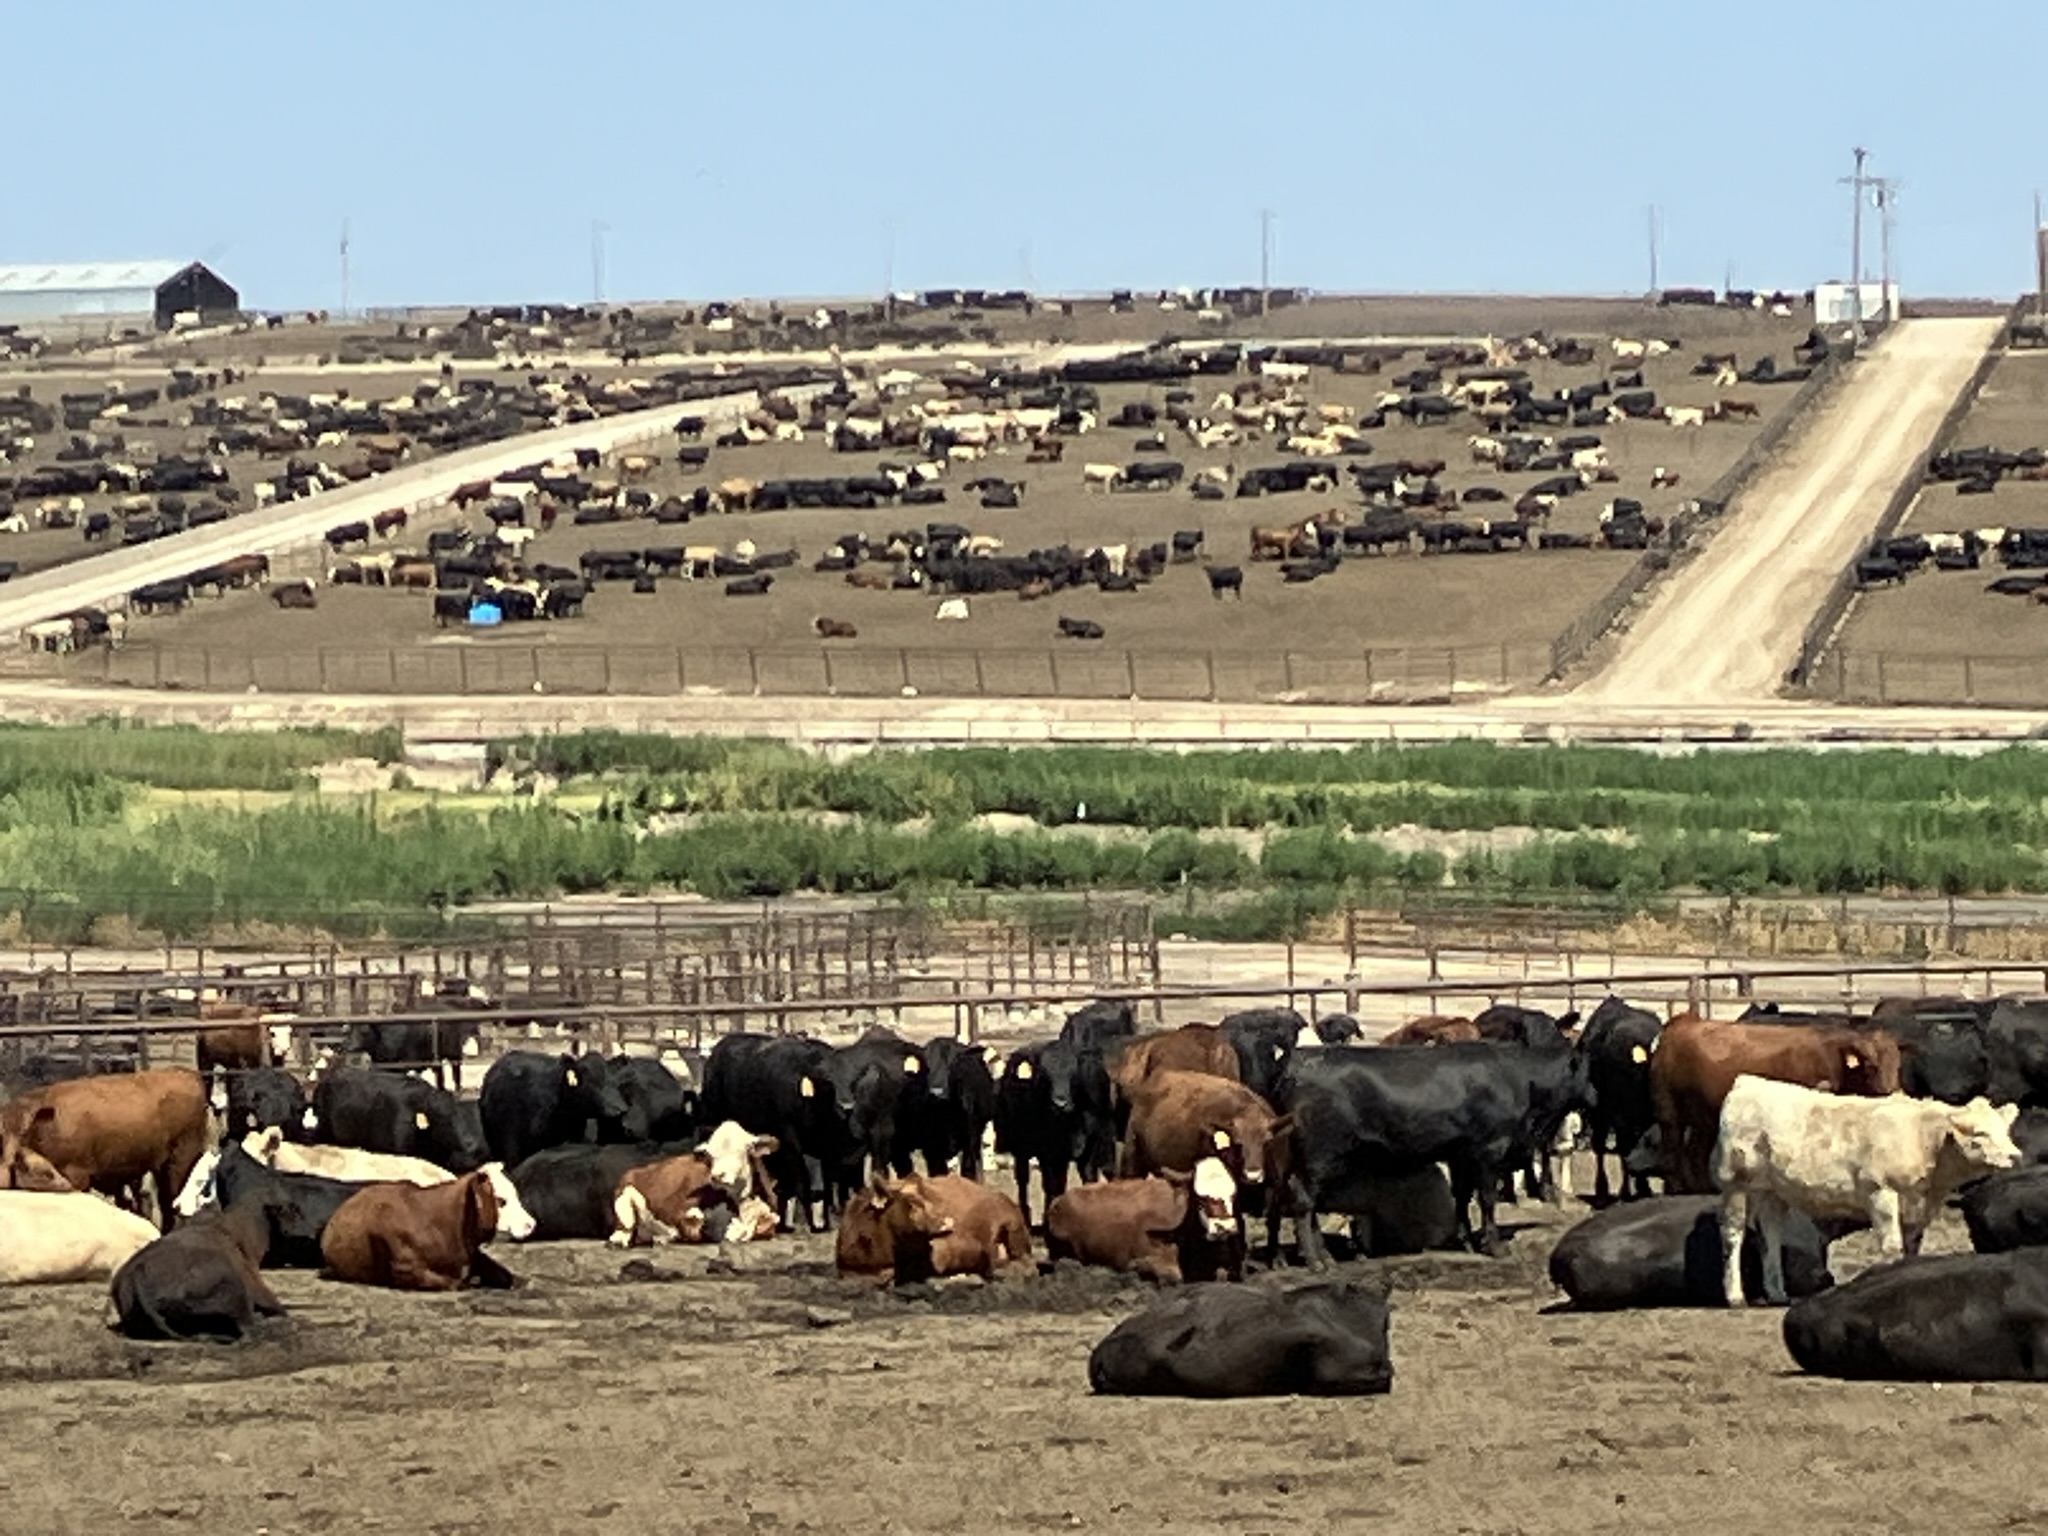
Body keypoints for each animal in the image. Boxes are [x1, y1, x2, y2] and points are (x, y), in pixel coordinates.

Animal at [1649, 1015, 1902, 1193]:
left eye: (1897, 1065)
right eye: (1872, 1066)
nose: (1889, 1090)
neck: (1835, 1060)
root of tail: (1679, 1025)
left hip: (1703, 1119)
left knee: (1695, 1153)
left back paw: (1703, 1189)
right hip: (1668, 1113)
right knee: (1670, 1153)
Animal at [1714, 1074, 2020, 1307]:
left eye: (2005, 1131)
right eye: (1980, 1134)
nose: (2015, 1156)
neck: (1923, 1140)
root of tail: (1747, 1083)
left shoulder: (1915, 1204)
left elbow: (1911, 1248)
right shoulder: (1881, 1191)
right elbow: (1892, 1245)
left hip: (1771, 1190)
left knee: (1771, 1234)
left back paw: (1777, 1293)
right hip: (1735, 1183)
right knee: (1733, 1234)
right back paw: (1735, 1296)